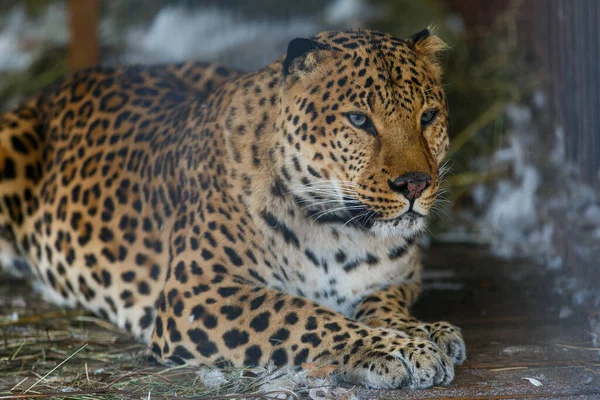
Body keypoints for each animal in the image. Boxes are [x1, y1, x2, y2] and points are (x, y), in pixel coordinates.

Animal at [0, 28, 464, 390]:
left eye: (428, 116)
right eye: (359, 120)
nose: (414, 184)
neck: (342, 230)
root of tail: (62, 83)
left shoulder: (396, 280)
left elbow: (383, 305)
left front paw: (422, 331)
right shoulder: (198, 292)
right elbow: (301, 314)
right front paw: (393, 348)